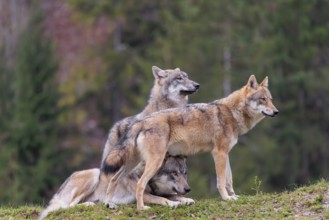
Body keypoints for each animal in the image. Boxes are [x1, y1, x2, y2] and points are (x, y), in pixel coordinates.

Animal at [38, 66, 197, 219]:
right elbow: (160, 196)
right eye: (179, 78)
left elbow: (171, 194)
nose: (197, 85)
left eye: (187, 76)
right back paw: (90, 204)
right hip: (96, 172)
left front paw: (184, 199)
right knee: (66, 206)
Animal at [104, 75, 276, 210]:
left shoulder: (225, 154)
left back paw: (109, 204)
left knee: (113, 179)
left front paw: (233, 196)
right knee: (139, 184)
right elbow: (221, 181)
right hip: (154, 162)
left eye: (271, 100)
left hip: (132, 163)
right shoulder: (218, 153)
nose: (276, 111)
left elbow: (229, 180)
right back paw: (142, 208)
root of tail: (141, 122)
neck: (232, 113)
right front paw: (226, 198)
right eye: (262, 100)